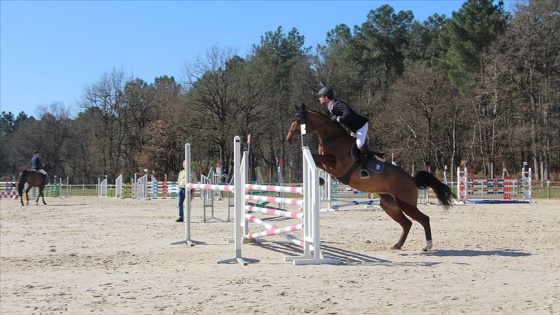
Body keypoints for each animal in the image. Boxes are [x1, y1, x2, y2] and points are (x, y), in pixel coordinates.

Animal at [284, 103, 456, 252]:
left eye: (298, 121)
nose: (288, 139)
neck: (333, 138)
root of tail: (411, 179)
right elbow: (317, 161)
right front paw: (320, 180)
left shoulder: (337, 166)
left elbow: (315, 157)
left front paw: (319, 179)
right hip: (389, 204)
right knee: (407, 223)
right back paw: (397, 245)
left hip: (406, 203)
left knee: (424, 219)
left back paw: (427, 245)